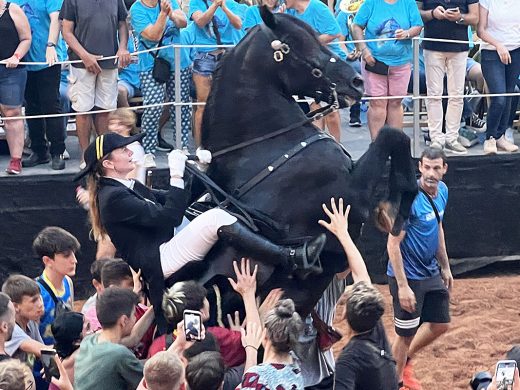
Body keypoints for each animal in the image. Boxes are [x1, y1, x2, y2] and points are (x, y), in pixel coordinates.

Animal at [172, 7, 418, 322]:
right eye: (298, 43)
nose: (357, 81)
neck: (267, 150)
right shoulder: (350, 195)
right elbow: (391, 135)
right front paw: (394, 210)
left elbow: (397, 137)